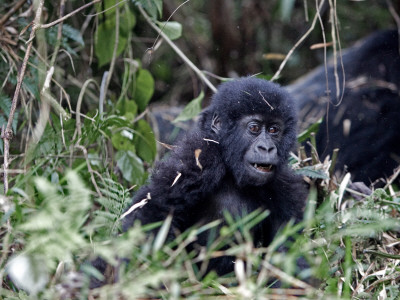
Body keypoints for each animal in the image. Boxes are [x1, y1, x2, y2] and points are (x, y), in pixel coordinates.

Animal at [123, 77, 308, 274]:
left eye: (274, 130)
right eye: (254, 128)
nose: (266, 148)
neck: (231, 169)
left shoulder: (283, 184)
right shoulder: (201, 155)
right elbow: (153, 210)